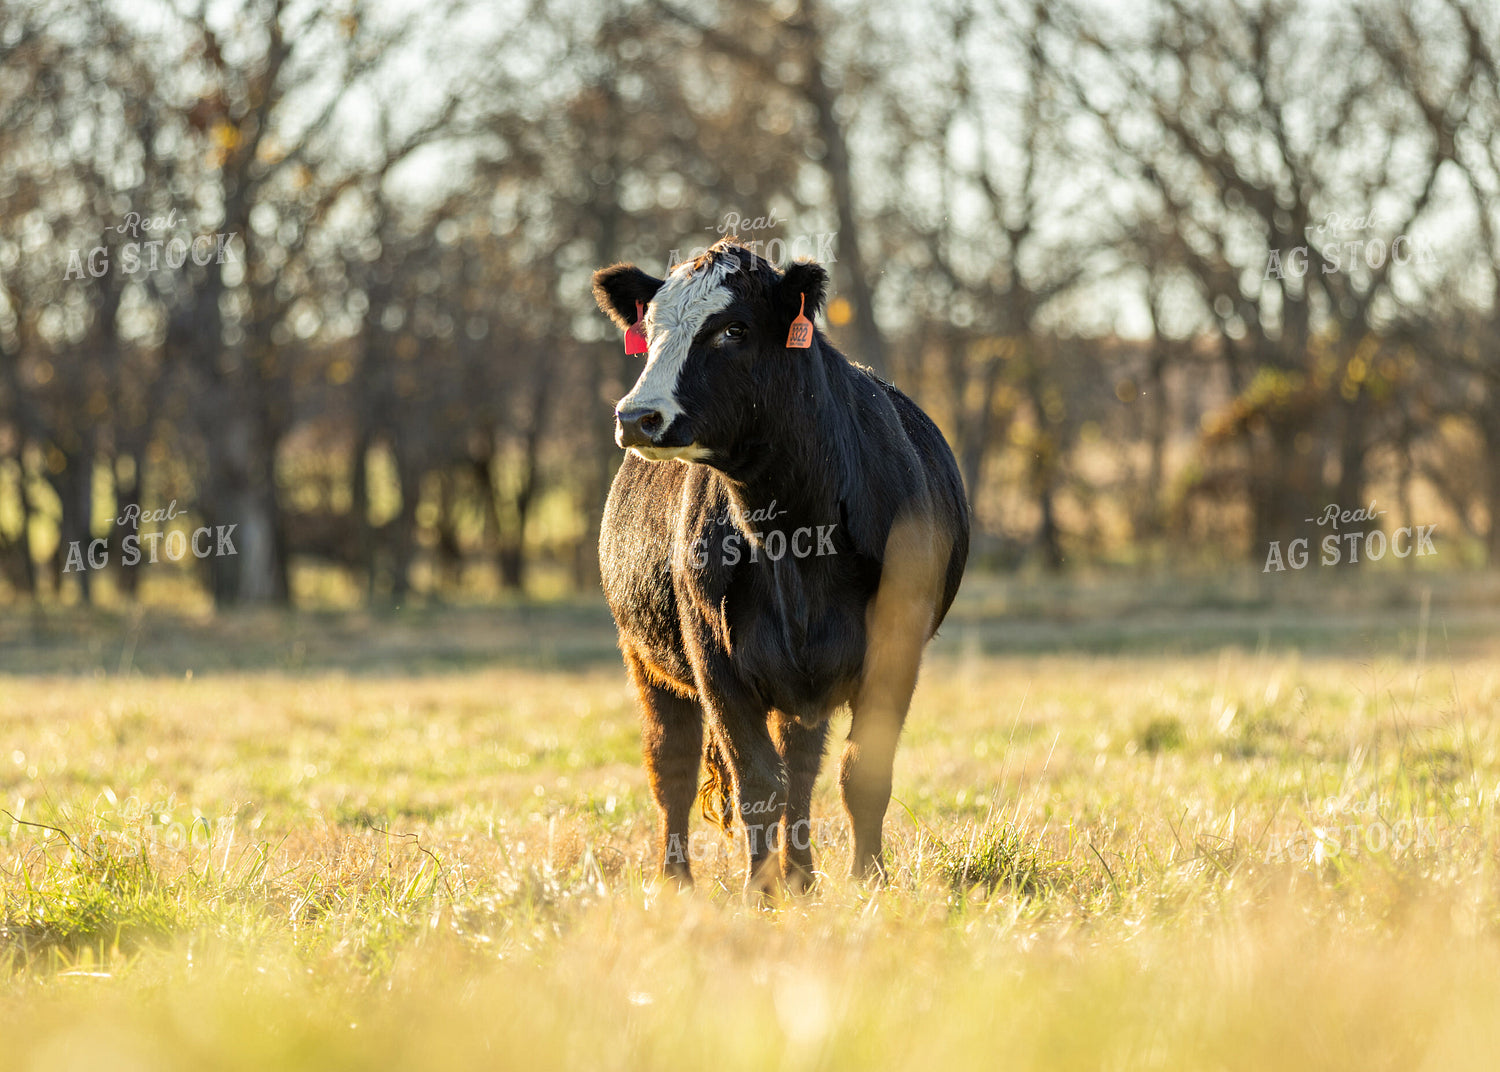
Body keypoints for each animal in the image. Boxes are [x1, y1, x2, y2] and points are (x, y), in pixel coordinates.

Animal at [593, 238, 969, 895]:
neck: (791, 535)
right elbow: (756, 782)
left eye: (733, 329)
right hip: (644, 658)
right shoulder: (714, 658)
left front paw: (867, 882)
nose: (637, 416)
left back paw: (802, 876)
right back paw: (678, 882)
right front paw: (760, 894)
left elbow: (859, 773)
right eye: (651, 328)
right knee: (673, 767)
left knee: (801, 764)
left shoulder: (895, 646)